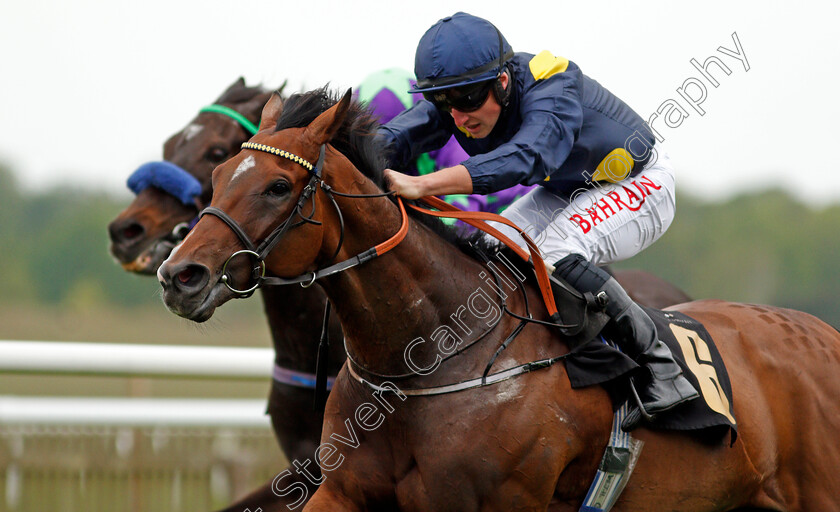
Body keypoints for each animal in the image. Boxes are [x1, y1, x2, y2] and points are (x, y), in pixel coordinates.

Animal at [158, 90, 840, 510]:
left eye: (278, 186)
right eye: (218, 176)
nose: (180, 275)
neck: (428, 361)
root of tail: (823, 334)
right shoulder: (342, 489)